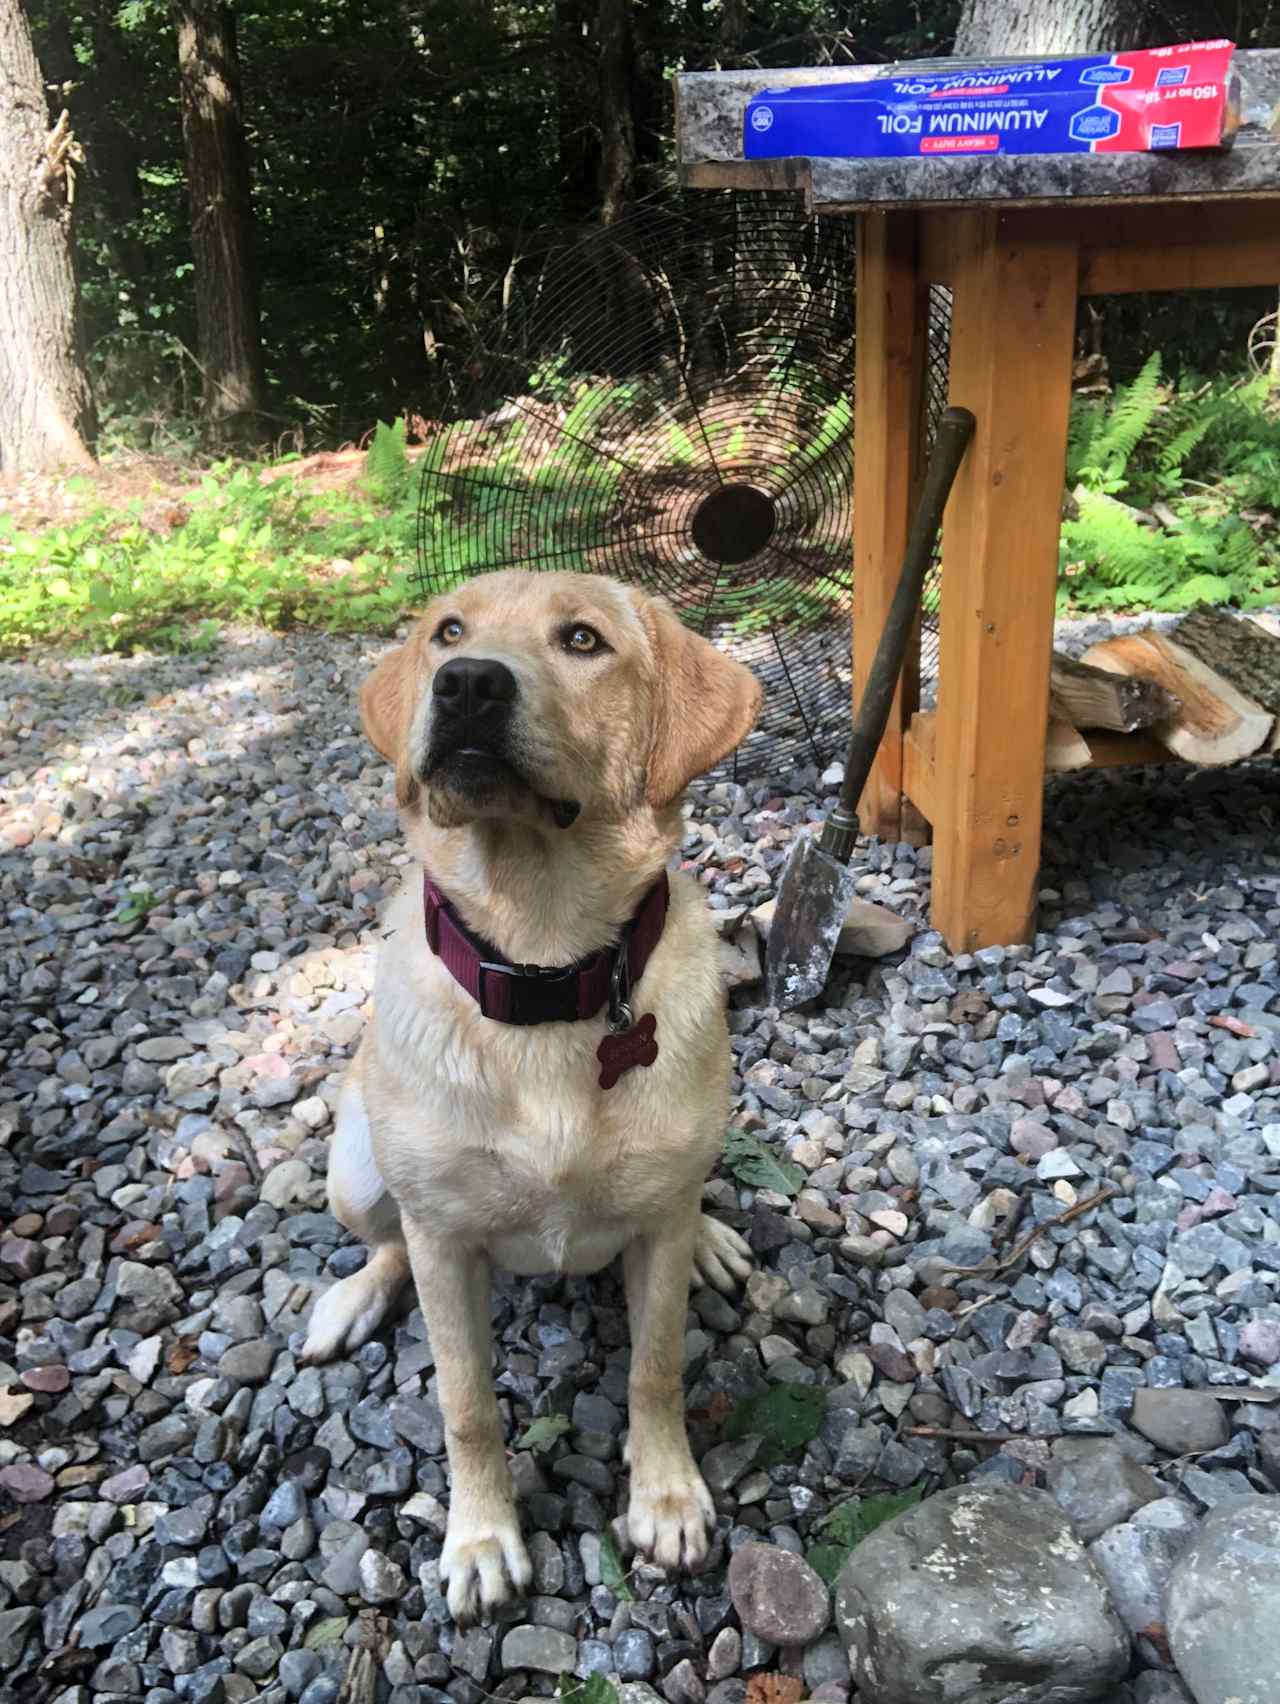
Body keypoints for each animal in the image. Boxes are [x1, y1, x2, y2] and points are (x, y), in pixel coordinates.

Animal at [299, 572, 760, 1622]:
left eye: (582, 640)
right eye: (447, 632)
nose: (468, 683)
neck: (544, 964)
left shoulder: (656, 1232)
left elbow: (656, 1370)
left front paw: (665, 1497)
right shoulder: (441, 1237)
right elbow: (466, 1404)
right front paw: (480, 1540)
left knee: (693, 1200)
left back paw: (715, 1238)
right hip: (356, 1171)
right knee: (384, 1241)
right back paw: (352, 1299)